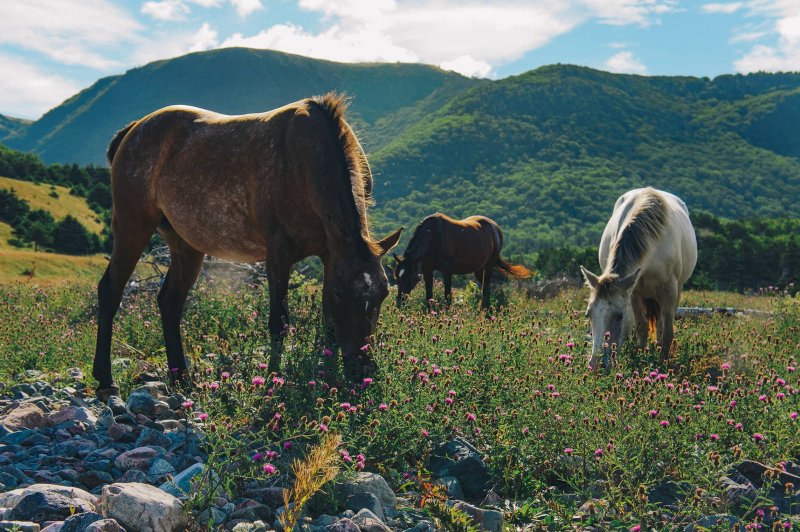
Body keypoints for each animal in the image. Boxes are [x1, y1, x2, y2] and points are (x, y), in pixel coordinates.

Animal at [94, 93, 404, 400]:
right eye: (343, 294)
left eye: (383, 293)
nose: (362, 369)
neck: (303, 161)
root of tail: (133, 129)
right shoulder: (278, 253)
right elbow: (279, 323)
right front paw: (273, 381)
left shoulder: (330, 254)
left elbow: (327, 322)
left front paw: (328, 379)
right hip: (133, 226)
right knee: (110, 290)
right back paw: (105, 380)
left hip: (186, 245)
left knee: (170, 301)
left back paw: (181, 377)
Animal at [392, 214, 532, 310]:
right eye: (397, 277)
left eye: (410, 277)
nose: (399, 302)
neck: (433, 235)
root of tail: (495, 228)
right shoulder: (427, 269)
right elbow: (429, 294)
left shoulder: (447, 270)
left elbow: (447, 294)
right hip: (479, 269)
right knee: (484, 288)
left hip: (489, 265)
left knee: (486, 289)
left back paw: (485, 311)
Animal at [580, 187, 696, 370]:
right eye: (588, 314)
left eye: (619, 316)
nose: (595, 365)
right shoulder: (634, 292)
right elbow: (641, 326)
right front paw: (641, 356)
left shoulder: (670, 290)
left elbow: (668, 331)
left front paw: (662, 363)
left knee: (662, 324)